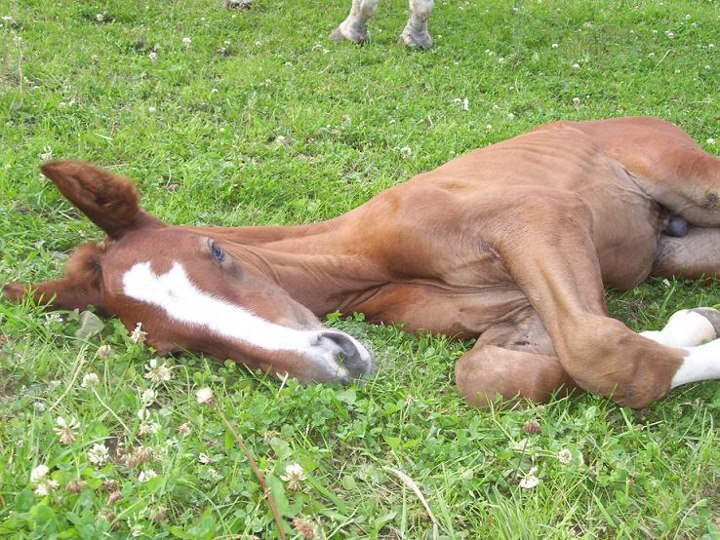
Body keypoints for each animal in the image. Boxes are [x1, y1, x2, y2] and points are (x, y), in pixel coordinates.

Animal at [4, 116, 720, 408]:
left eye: (216, 251)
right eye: (178, 349)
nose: (337, 359)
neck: (358, 259)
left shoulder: (539, 214)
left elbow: (604, 352)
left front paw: (689, 335)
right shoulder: (516, 314)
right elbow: (494, 374)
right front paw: (687, 326)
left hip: (697, 183)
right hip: (686, 251)